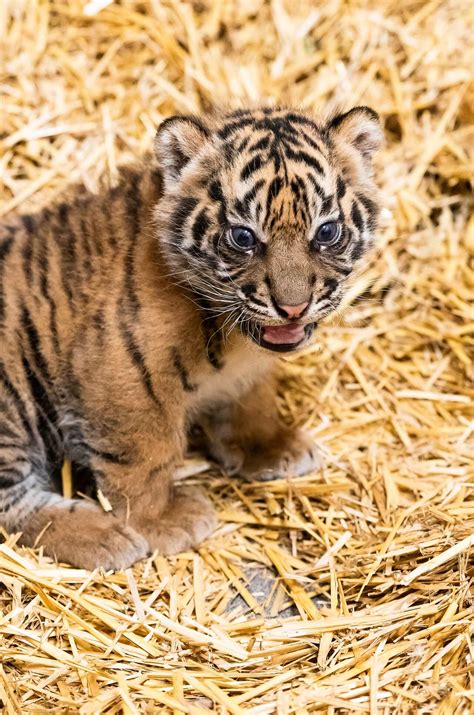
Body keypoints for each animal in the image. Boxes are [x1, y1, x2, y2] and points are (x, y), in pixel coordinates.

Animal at [0, 105, 382, 569]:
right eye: (243, 237)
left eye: (326, 232)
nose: (293, 307)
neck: (234, 333)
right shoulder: (122, 380)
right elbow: (145, 457)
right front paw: (160, 521)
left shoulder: (244, 374)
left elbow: (252, 403)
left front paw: (271, 447)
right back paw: (104, 536)